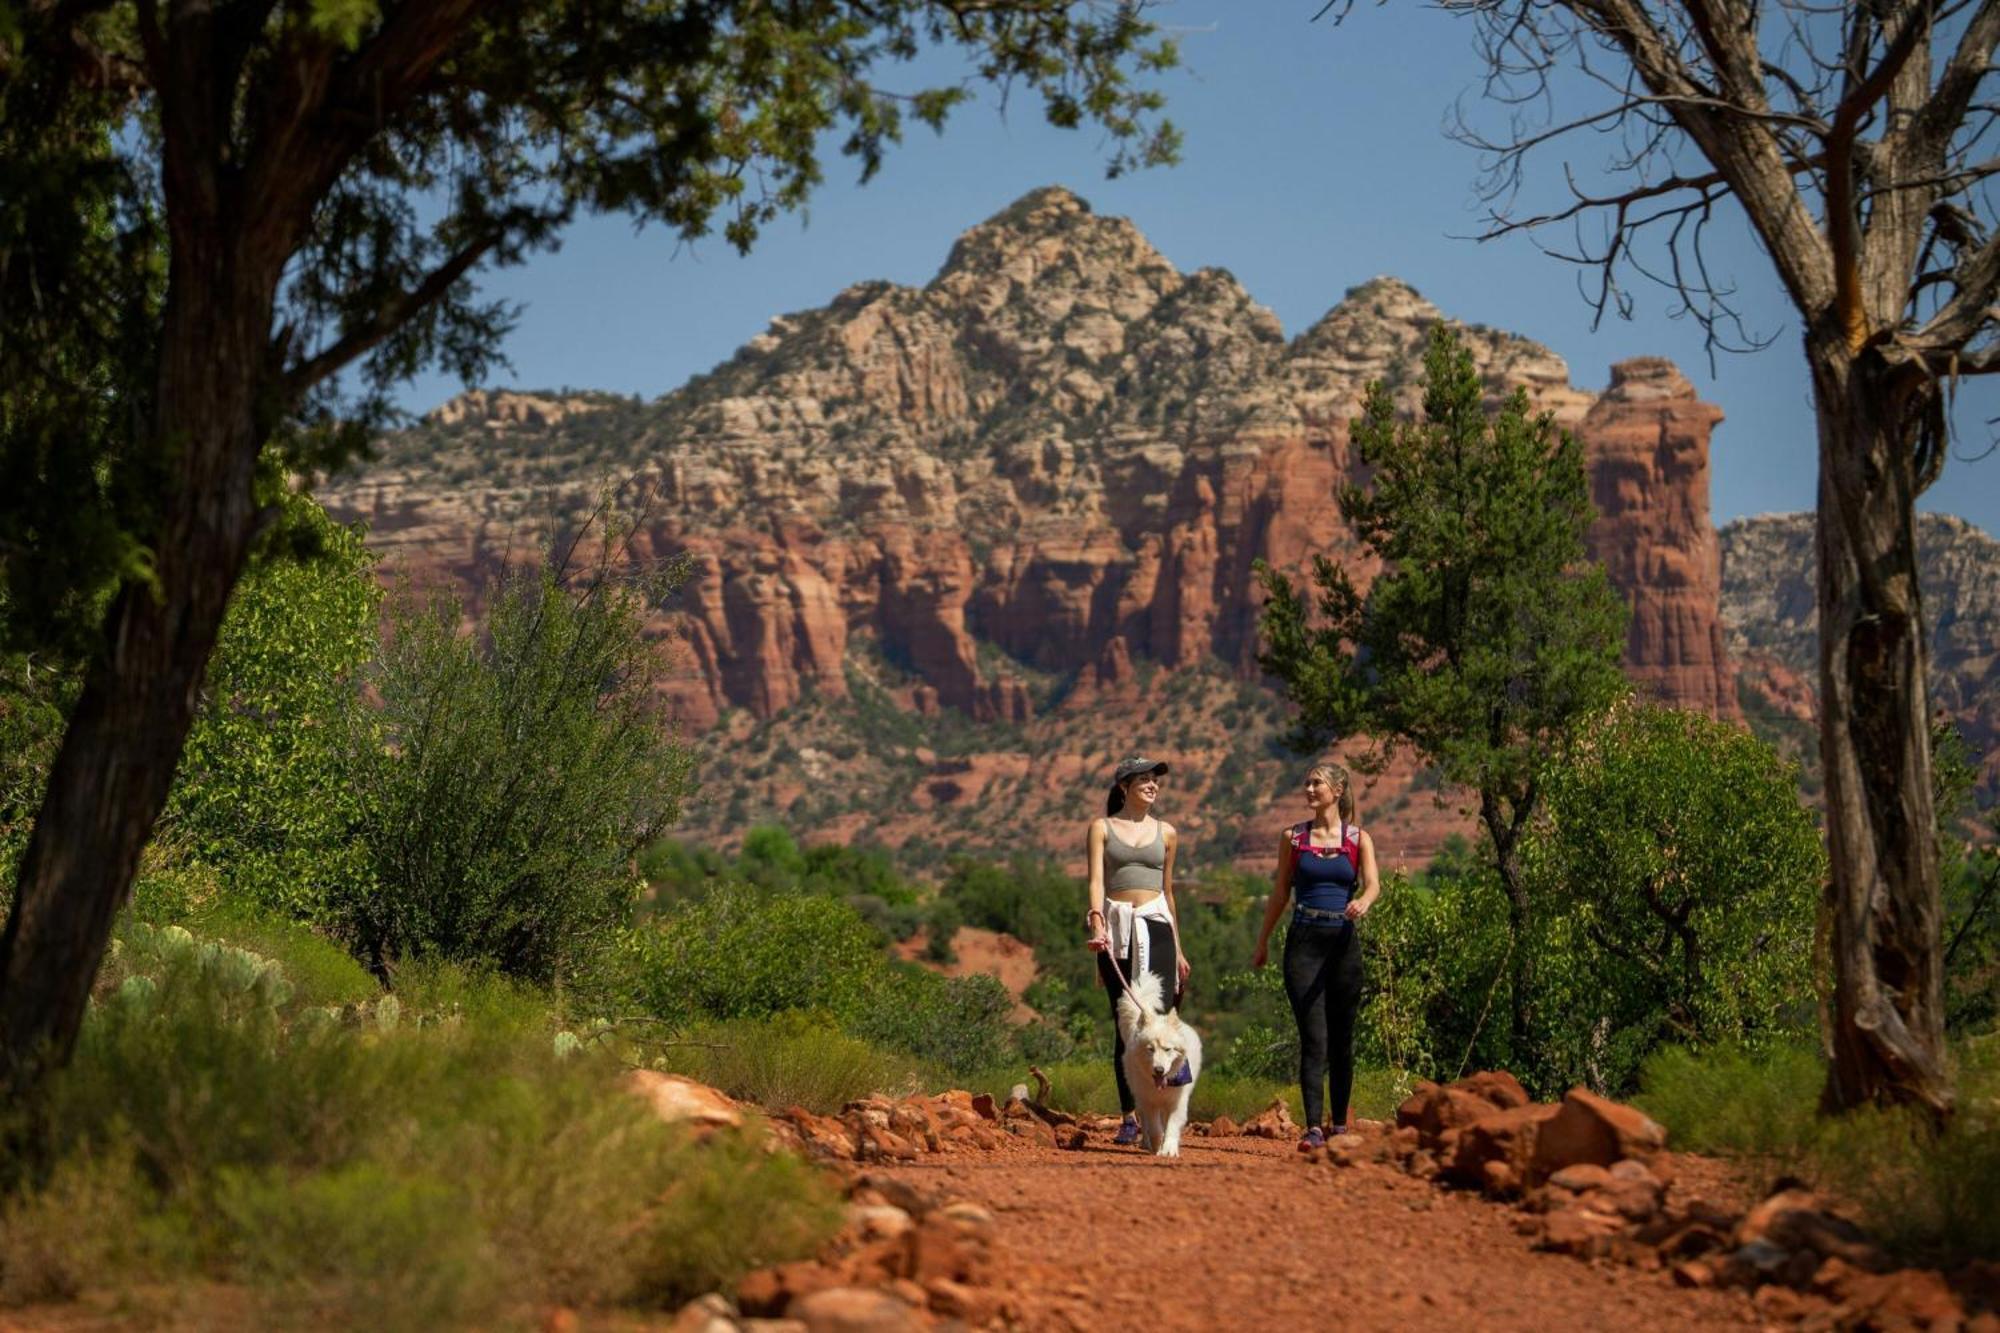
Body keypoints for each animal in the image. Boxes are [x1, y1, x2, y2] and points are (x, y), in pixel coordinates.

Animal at [1112, 964, 1200, 1152]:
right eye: (1150, 1049)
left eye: (1167, 1049)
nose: (1159, 1070)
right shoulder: (1149, 1103)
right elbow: (1154, 1128)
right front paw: (1157, 1146)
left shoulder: (1176, 1102)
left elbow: (1171, 1127)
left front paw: (1169, 1150)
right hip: (1139, 1098)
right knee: (1144, 1123)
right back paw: (1146, 1144)